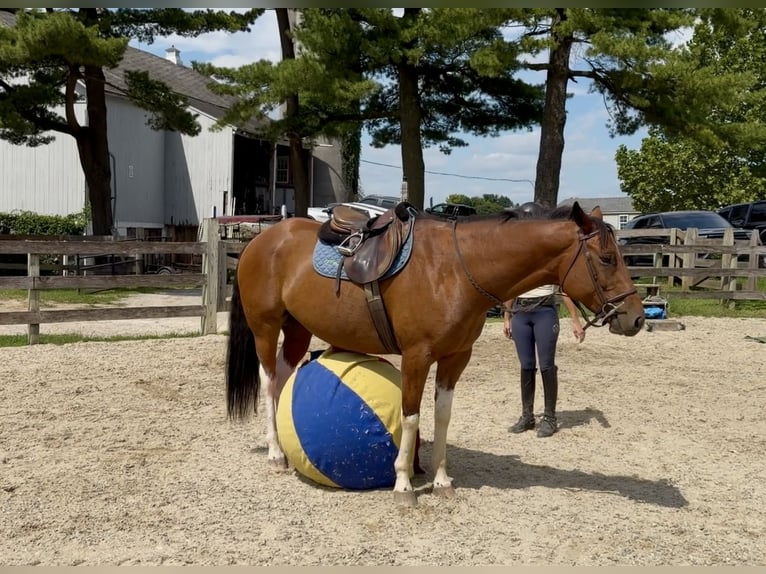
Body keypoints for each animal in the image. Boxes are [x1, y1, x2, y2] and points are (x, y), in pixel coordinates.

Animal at [226, 201, 645, 506]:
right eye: (607, 259)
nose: (636, 318)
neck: (456, 269)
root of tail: (259, 241)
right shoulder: (417, 357)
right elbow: (410, 417)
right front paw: (403, 485)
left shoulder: (456, 358)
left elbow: (442, 416)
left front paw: (441, 480)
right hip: (266, 327)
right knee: (268, 382)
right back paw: (275, 454)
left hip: (298, 328)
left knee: (283, 378)